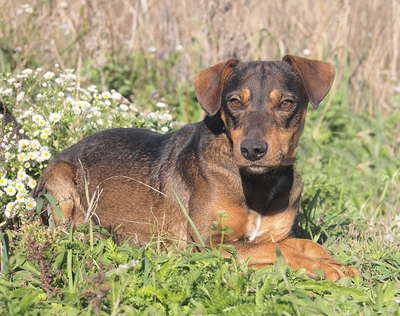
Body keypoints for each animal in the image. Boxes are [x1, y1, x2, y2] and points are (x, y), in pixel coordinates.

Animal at [32, 55, 360, 282]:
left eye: (286, 103)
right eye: (235, 102)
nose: (253, 150)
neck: (256, 184)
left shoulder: (273, 235)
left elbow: (303, 243)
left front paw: (336, 263)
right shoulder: (208, 244)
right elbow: (277, 251)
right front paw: (323, 268)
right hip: (61, 185)